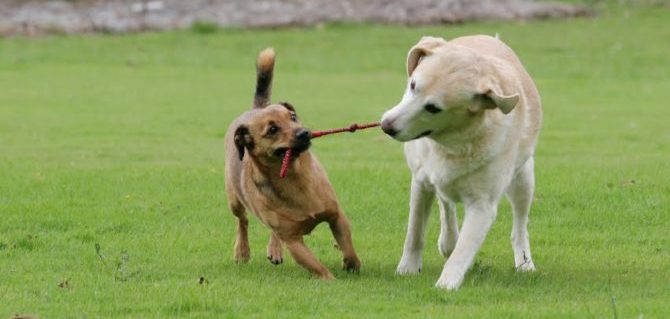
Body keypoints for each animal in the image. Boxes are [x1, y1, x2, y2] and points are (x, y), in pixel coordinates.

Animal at [224, 48, 362, 280]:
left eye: (293, 116)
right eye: (272, 130)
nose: (304, 132)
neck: (294, 178)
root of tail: (256, 108)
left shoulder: (336, 216)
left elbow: (348, 246)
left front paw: (351, 264)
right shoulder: (293, 240)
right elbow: (316, 266)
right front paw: (331, 280)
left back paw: (274, 249)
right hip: (234, 198)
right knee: (242, 221)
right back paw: (242, 251)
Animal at [380, 35, 544, 290]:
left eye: (433, 108)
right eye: (413, 85)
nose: (387, 126)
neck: (453, 144)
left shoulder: (482, 206)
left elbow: (463, 251)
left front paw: (446, 284)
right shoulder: (421, 182)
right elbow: (415, 233)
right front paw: (407, 269)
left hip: (524, 179)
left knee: (519, 226)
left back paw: (524, 262)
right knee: (446, 204)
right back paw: (448, 240)